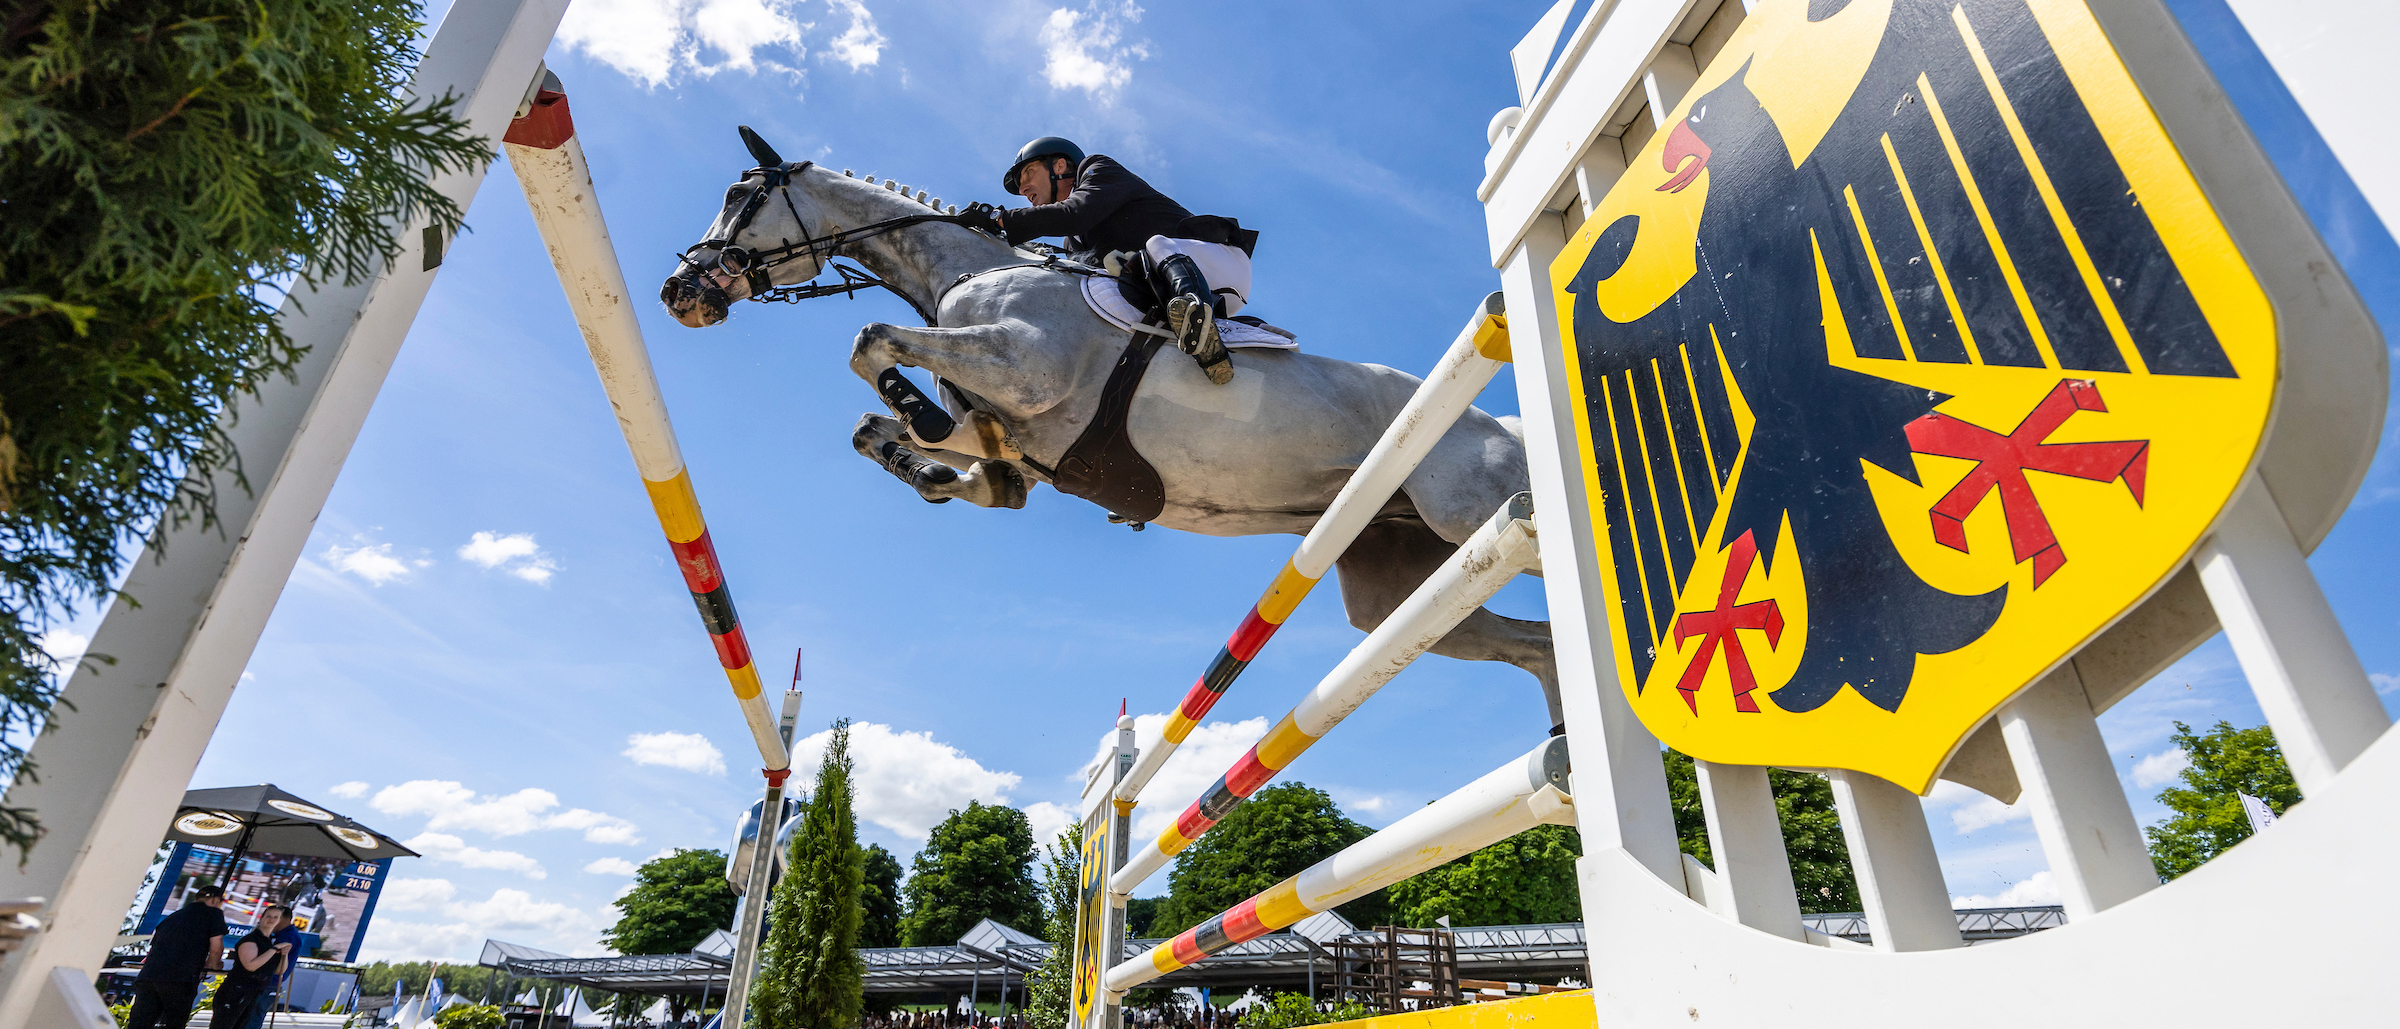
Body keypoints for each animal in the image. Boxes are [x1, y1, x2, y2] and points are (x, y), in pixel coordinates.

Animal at [657, 136, 1564, 724]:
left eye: (739, 196)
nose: (679, 291)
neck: (969, 271)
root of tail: (1501, 420)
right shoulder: (1004, 413)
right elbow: (883, 427)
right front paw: (945, 473)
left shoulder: (1024, 365)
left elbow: (870, 339)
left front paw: (923, 424)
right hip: (1396, 583)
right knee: (1530, 643)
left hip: (1472, 507)